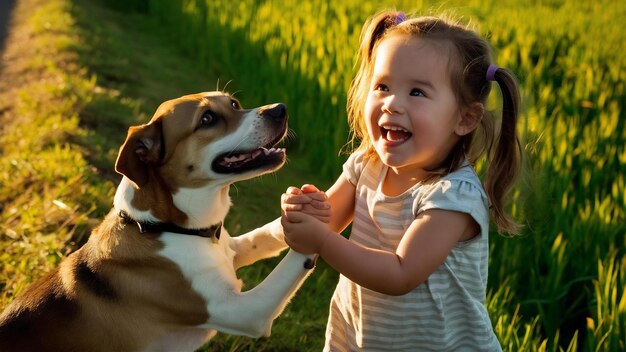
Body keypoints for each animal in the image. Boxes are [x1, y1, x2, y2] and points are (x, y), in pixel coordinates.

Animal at [0, 92, 312, 350]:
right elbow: (287, 269)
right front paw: (313, 234)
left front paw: (300, 210)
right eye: (207, 119)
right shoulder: (245, 311)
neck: (163, 228)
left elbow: (260, 237)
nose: (280, 110)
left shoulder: (230, 250)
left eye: (234, 104)